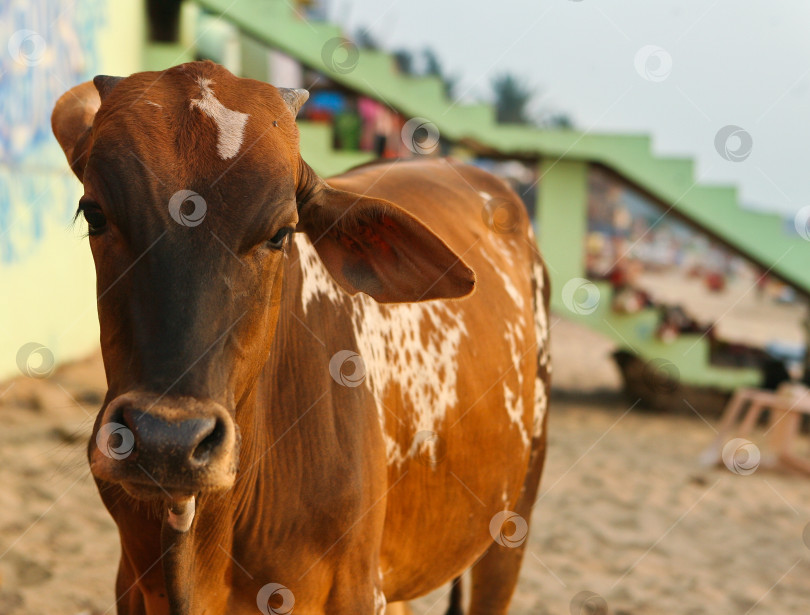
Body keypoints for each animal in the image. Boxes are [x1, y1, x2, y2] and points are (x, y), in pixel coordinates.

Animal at [50, 61, 552, 615]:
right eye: (95, 213)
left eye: (281, 233)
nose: (167, 441)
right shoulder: (131, 586)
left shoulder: (356, 592)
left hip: (512, 524)